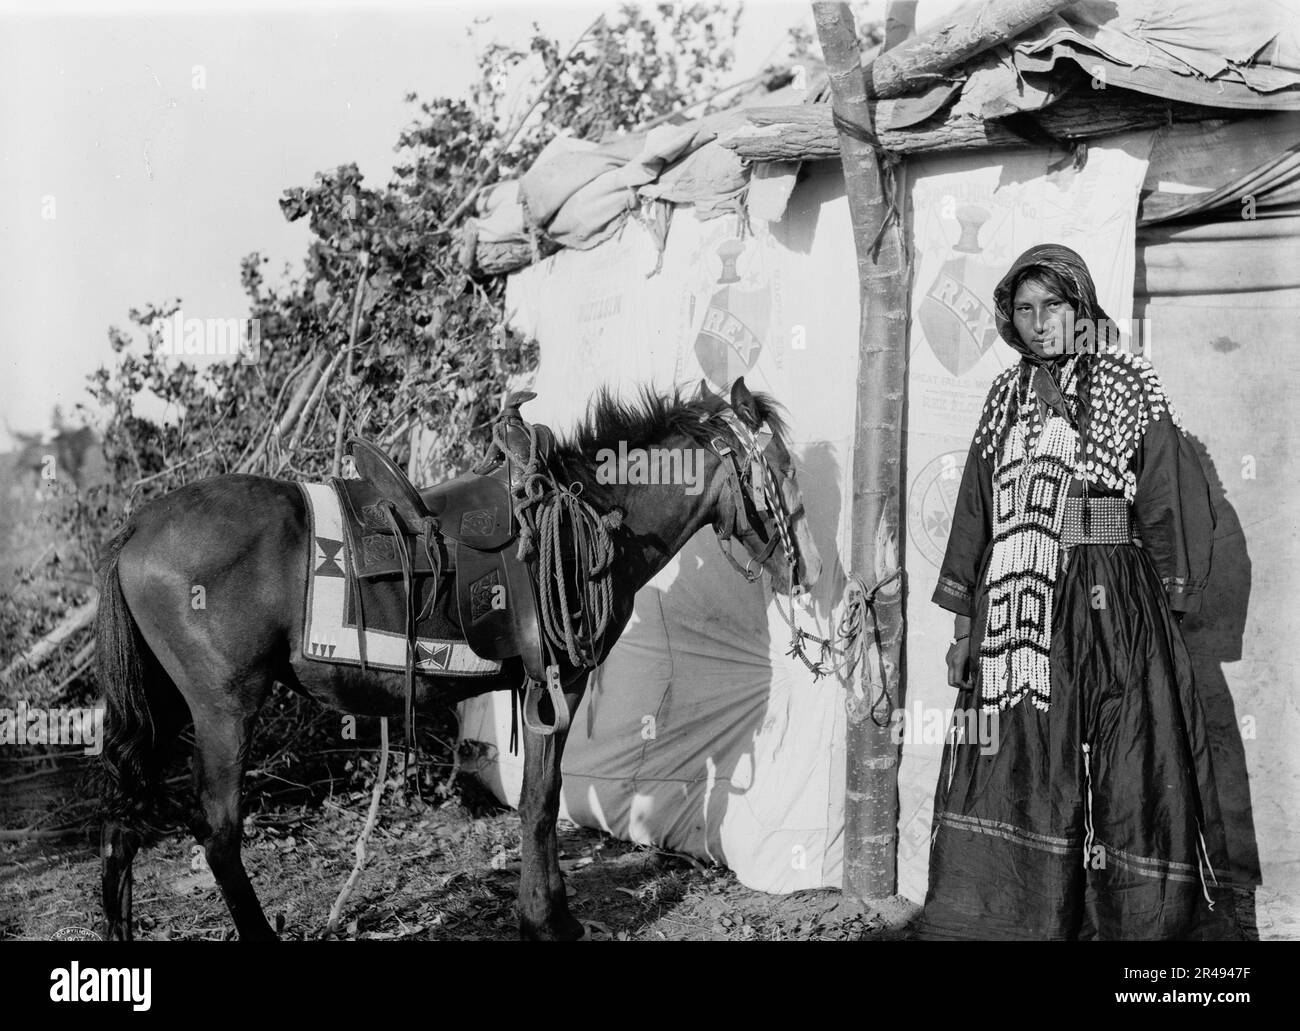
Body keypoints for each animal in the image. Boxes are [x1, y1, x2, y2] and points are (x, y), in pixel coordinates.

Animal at [98, 379, 821, 941]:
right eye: (780, 469)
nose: (804, 569)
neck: (590, 514)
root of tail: (136, 527)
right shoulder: (558, 683)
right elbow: (541, 800)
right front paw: (546, 919)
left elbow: (536, 797)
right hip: (224, 707)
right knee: (218, 829)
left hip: (166, 707)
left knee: (124, 813)